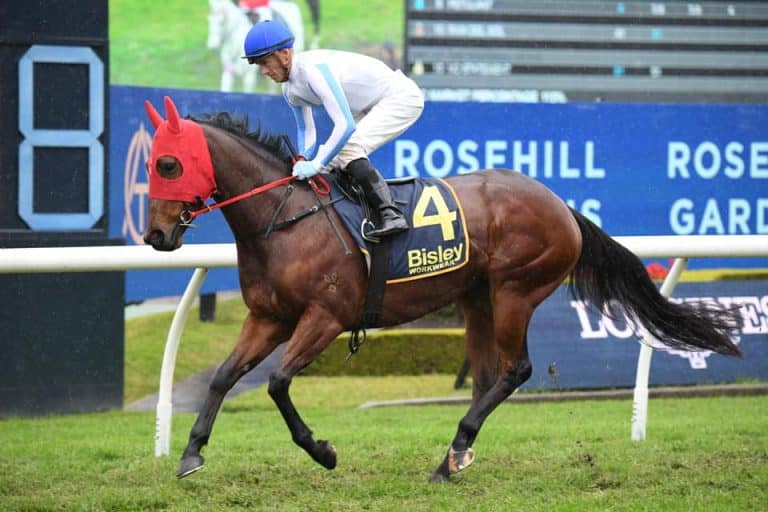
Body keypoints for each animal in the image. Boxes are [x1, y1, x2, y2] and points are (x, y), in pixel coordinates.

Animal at [142, 96, 742, 482]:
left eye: (168, 164)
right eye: (150, 164)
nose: (154, 236)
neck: (286, 219)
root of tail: (560, 206)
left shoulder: (325, 318)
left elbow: (277, 383)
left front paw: (323, 452)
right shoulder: (268, 317)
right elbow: (223, 376)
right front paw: (190, 454)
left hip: (514, 290)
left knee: (514, 370)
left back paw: (454, 450)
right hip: (477, 295)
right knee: (486, 375)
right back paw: (455, 454)